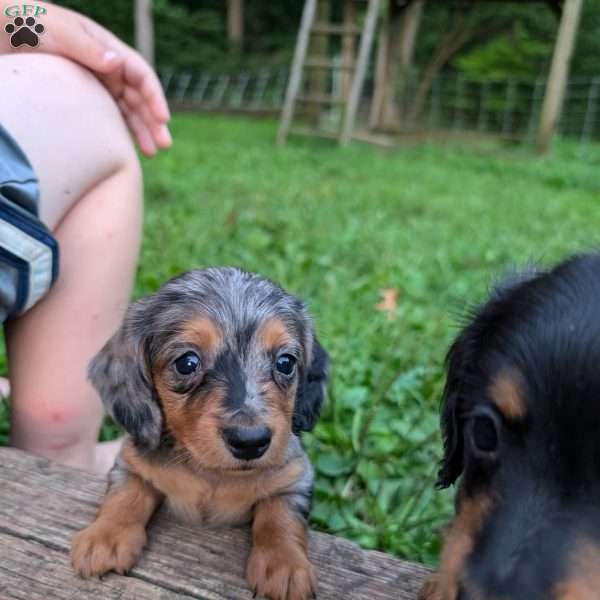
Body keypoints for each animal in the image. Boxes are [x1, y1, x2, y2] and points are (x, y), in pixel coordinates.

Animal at [72, 268, 330, 600]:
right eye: (187, 363)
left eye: (285, 362)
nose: (251, 442)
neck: (211, 473)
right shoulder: (131, 464)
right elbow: (125, 495)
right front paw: (105, 537)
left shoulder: (295, 477)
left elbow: (281, 517)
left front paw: (284, 564)